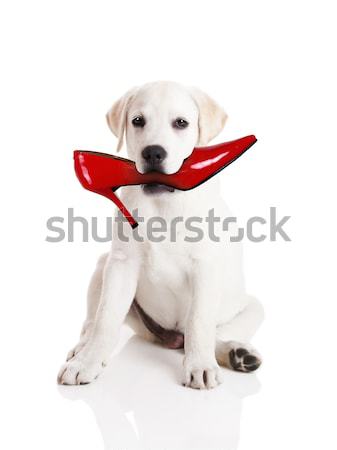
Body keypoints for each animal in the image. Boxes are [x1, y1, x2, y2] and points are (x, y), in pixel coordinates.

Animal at [57, 81, 262, 390]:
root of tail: (170, 336)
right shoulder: (121, 264)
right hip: (103, 266)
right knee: (92, 323)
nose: (153, 152)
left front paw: (200, 366)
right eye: (138, 121)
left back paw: (236, 353)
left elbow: (199, 322)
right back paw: (83, 349)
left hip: (251, 307)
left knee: (202, 333)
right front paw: (87, 363)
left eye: (181, 123)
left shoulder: (205, 267)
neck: (162, 202)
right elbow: (106, 319)